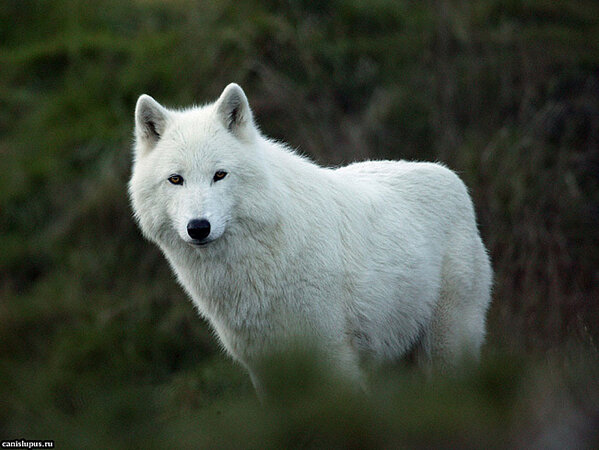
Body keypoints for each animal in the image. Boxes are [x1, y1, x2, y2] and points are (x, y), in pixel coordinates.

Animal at [129, 83, 492, 397]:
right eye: (176, 179)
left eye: (219, 175)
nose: (199, 227)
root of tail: (451, 176)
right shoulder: (266, 370)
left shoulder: (334, 360)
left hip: (444, 351)